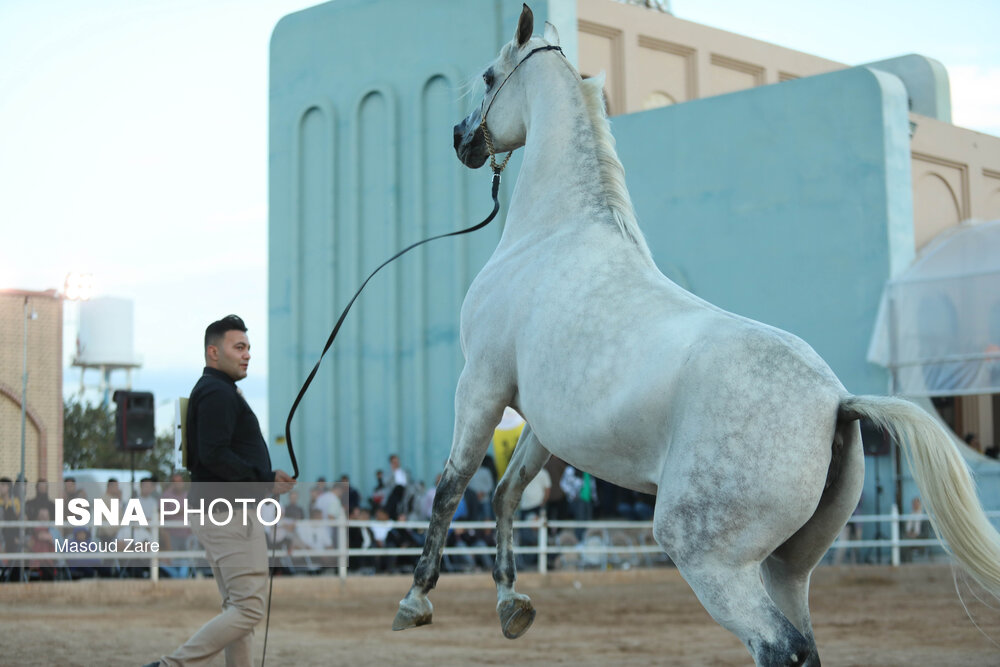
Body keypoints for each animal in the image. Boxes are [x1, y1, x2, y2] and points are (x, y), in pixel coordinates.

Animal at [392, 7, 1000, 664]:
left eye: (486, 76)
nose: (461, 139)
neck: (555, 231)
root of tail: (837, 400)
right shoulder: (541, 417)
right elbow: (506, 491)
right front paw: (512, 604)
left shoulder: (482, 381)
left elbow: (453, 485)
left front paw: (416, 600)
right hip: (787, 567)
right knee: (804, 642)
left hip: (710, 558)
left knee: (779, 646)